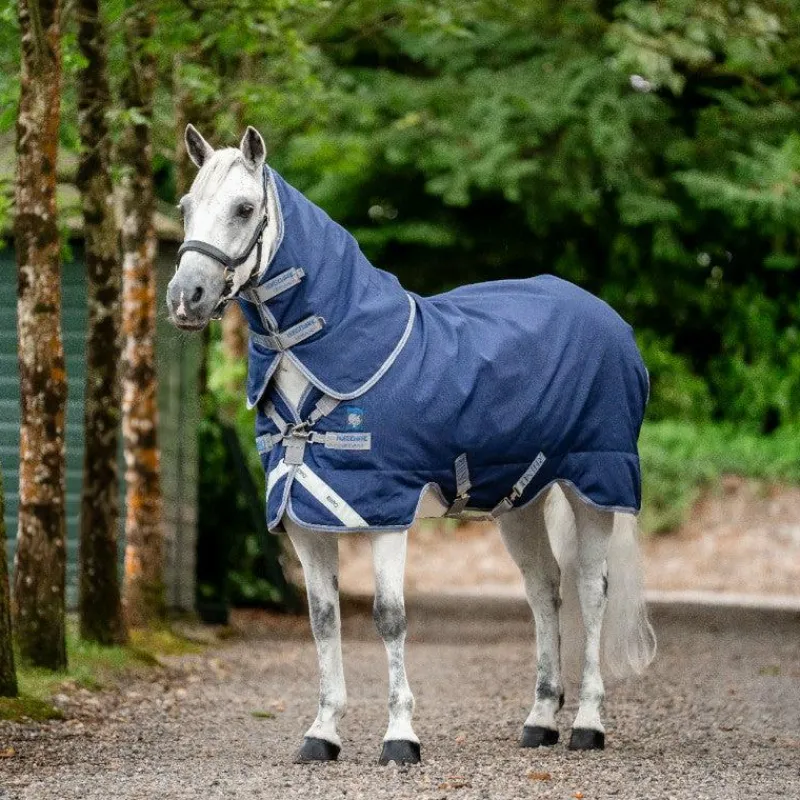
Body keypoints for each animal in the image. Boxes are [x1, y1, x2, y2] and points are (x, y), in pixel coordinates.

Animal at [167, 125, 656, 765]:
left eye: (245, 208)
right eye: (186, 207)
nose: (186, 298)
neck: (329, 364)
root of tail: (610, 320)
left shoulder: (385, 513)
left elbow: (390, 618)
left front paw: (400, 736)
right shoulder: (303, 518)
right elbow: (323, 620)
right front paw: (322, 733)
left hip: (594, 487)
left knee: (591, 592)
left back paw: (587, 725)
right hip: (520, 501)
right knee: (543, 590)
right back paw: (540, 720)